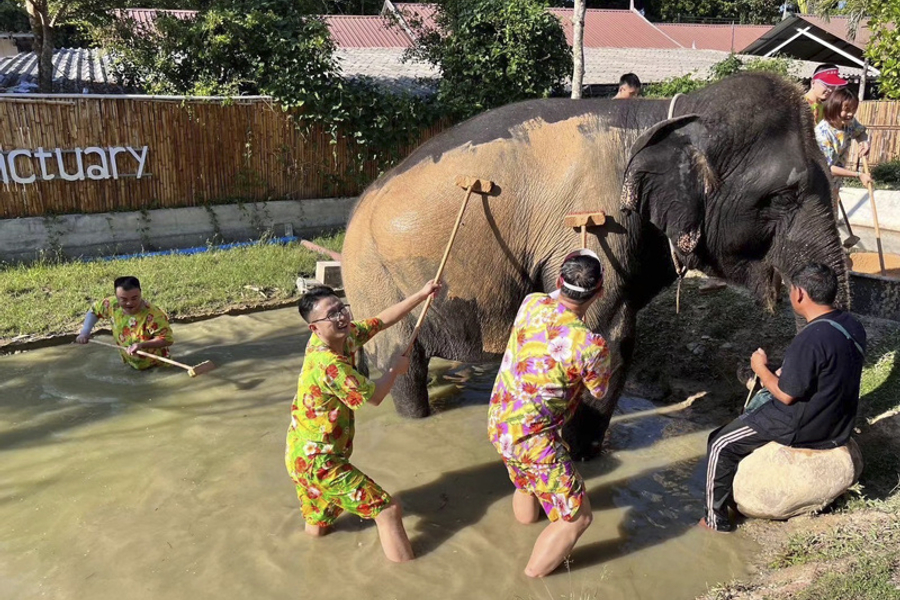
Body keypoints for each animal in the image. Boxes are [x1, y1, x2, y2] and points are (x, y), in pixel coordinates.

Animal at [341, 73, 848, 458]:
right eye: (783, 196)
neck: (666, 114)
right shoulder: (599, 221)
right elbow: (608, 336)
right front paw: (582, 455)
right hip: (375, 278)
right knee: (402, 365)